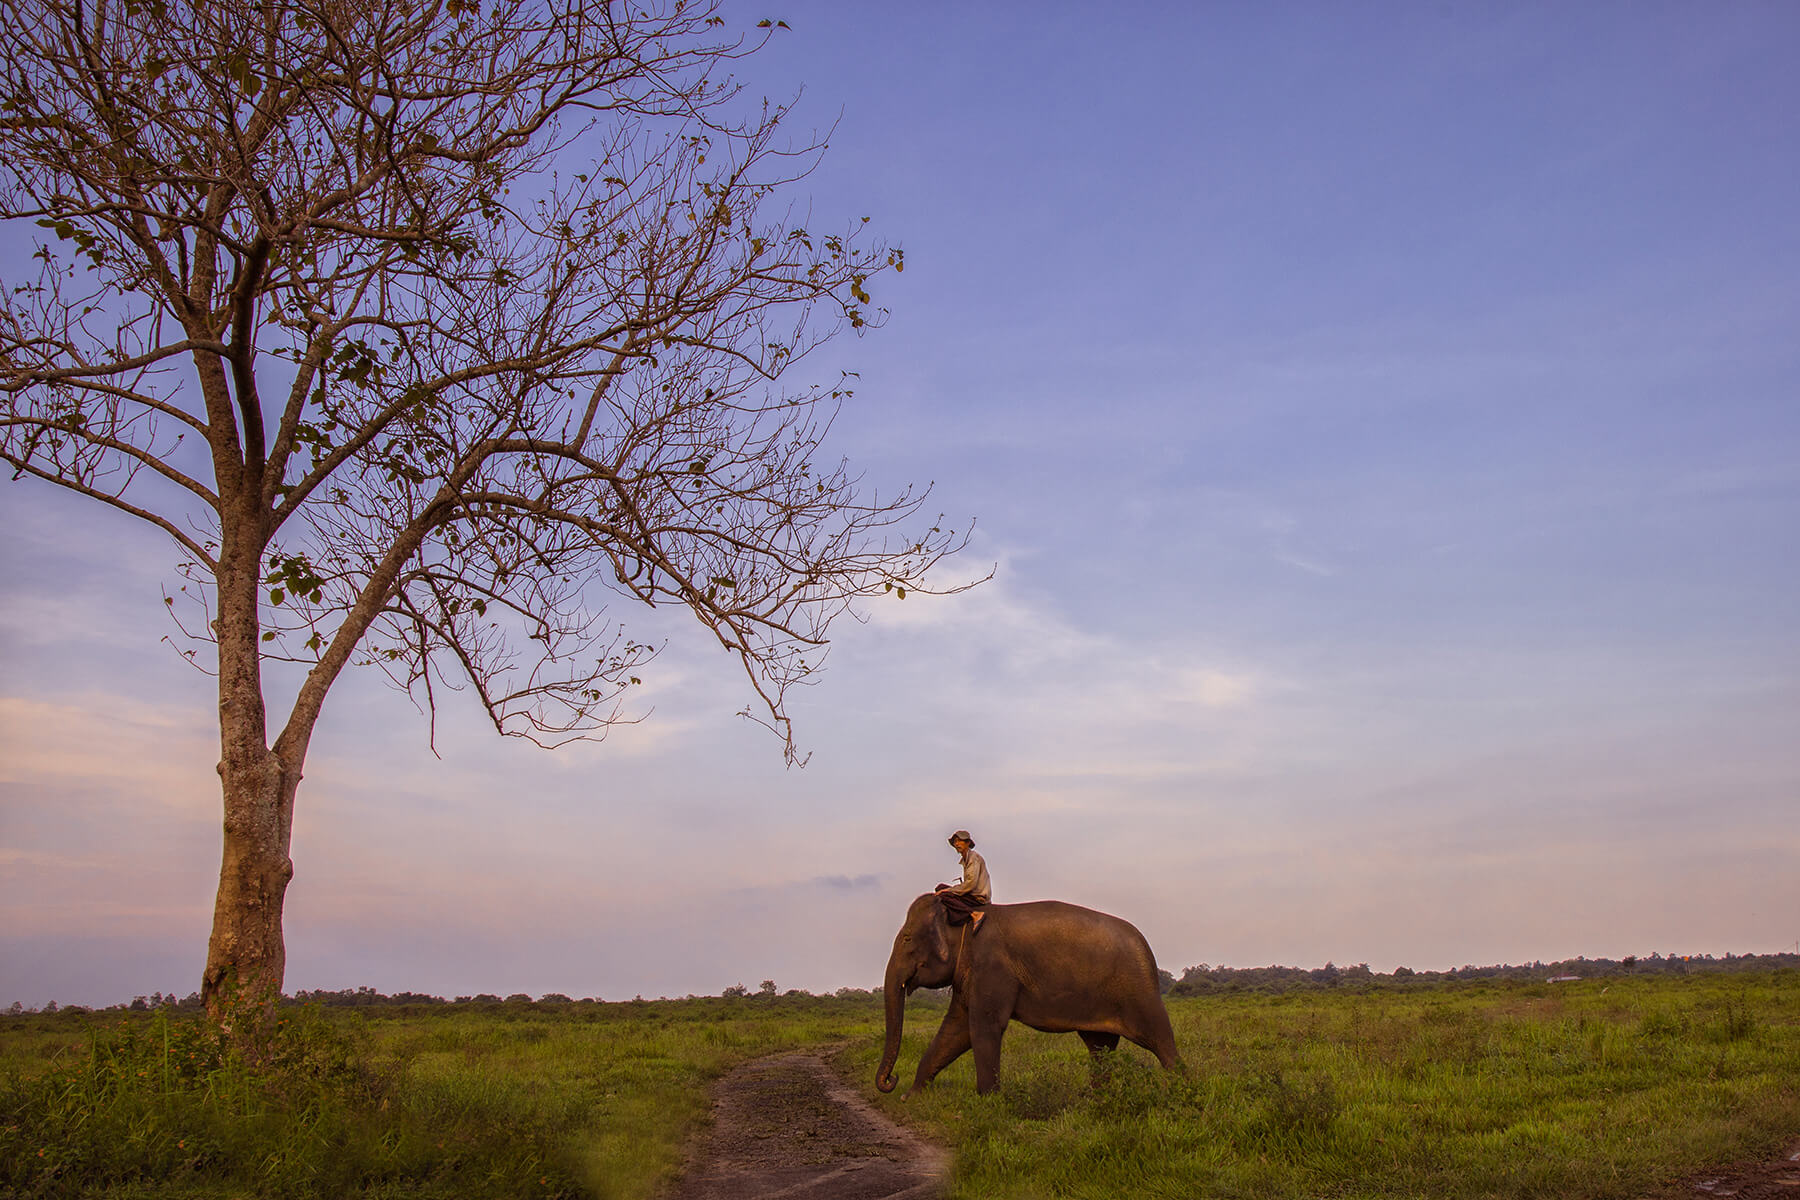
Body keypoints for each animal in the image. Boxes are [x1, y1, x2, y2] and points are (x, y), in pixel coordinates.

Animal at [875, 892, 1180, 1095]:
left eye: (907, 939)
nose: (892, 1081)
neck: (963, 917)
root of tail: (1146, 948)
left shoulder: (992, 966)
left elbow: (983, 1026)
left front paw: (988, 1103)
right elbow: (955, 1030)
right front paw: (912, 1096)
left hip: (1139, 992)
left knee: (1160, 1041)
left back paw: (1182, 1093)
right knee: (1099, 1047)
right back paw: (1098, 1100)